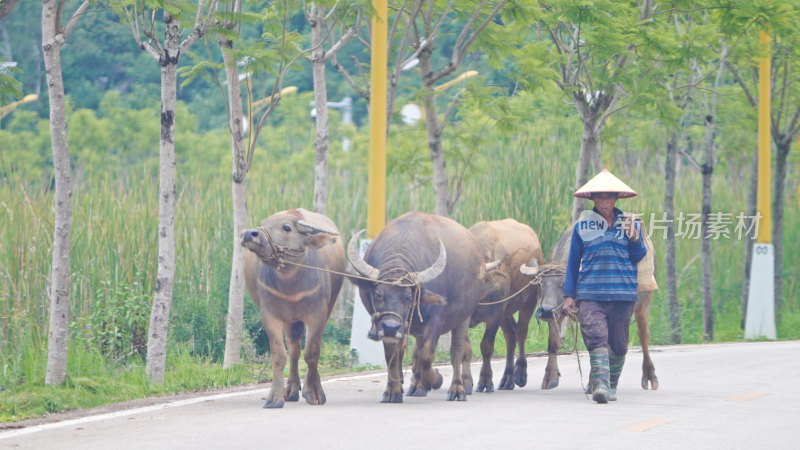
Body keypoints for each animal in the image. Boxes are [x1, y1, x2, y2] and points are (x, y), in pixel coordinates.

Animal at [242, 207, 346, 408]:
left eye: (287, 227)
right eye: (263, 223)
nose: (250, 233)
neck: (291, 285)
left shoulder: (318, 315)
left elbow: (312, 353)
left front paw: (313, 392)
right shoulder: (270, 316)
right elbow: (279, 355)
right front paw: (274, 398)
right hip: (290, 320)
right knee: (294, 349)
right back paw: (290, 390)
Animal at [348, 213, 488, 402]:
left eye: (408, 297)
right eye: (378, 294)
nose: (391, 327)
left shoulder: (436, 320)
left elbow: (428, 355)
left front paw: (437, 379)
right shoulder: (386, 326)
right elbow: (393, 356)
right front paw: (392, 391)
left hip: (464, 316)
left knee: (457, 351)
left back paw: (457, 389)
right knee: (418, 350)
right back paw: (418, 386)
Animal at [466, 220, 548, 392]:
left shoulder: (494, 316)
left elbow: (486, 346)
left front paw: (485, 381)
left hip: (529, 301)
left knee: (521, 333)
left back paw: (520, 373)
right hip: (506, 312)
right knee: (511, 336)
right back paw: (507, 379)